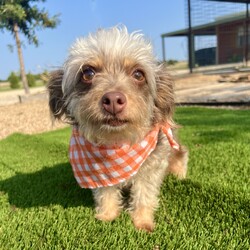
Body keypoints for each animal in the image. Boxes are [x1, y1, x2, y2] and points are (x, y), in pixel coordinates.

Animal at [47, 25, 188, 232]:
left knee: (181, 154)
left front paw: (142, 222)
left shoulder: (151, 168)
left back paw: (180, 174)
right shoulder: (99, 174)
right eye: (87, 73)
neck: (117, 143)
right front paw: (107, 215)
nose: (113, 100)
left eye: (138, 74)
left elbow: (144, 196)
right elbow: (105, 193)